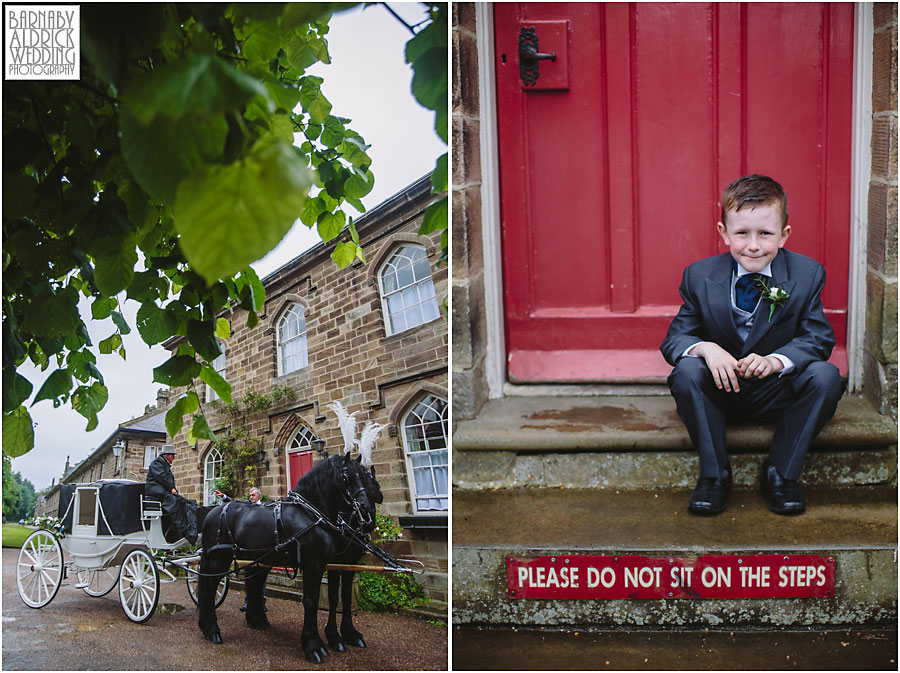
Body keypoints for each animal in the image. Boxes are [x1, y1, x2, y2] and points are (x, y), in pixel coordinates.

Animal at [197, 452, 376, 660]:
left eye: (364, 477)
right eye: (346, 476)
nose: (365, 507)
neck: (310, 514)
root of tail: (213, 511)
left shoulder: (327, 564)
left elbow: (327, 598)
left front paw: (330, 638)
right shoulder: (313, 563)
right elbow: (311, 601)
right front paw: (313, 645)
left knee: (245, 586)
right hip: (219, 558)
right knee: (209, 589)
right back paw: (212, 630)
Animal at [322, 462, 382, 652]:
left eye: (377, 494)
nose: (369, 522)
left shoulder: (350, 564)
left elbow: (346, 596)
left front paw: (350, 633)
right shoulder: (333, 564)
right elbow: (333, 597)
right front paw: (333, 636)